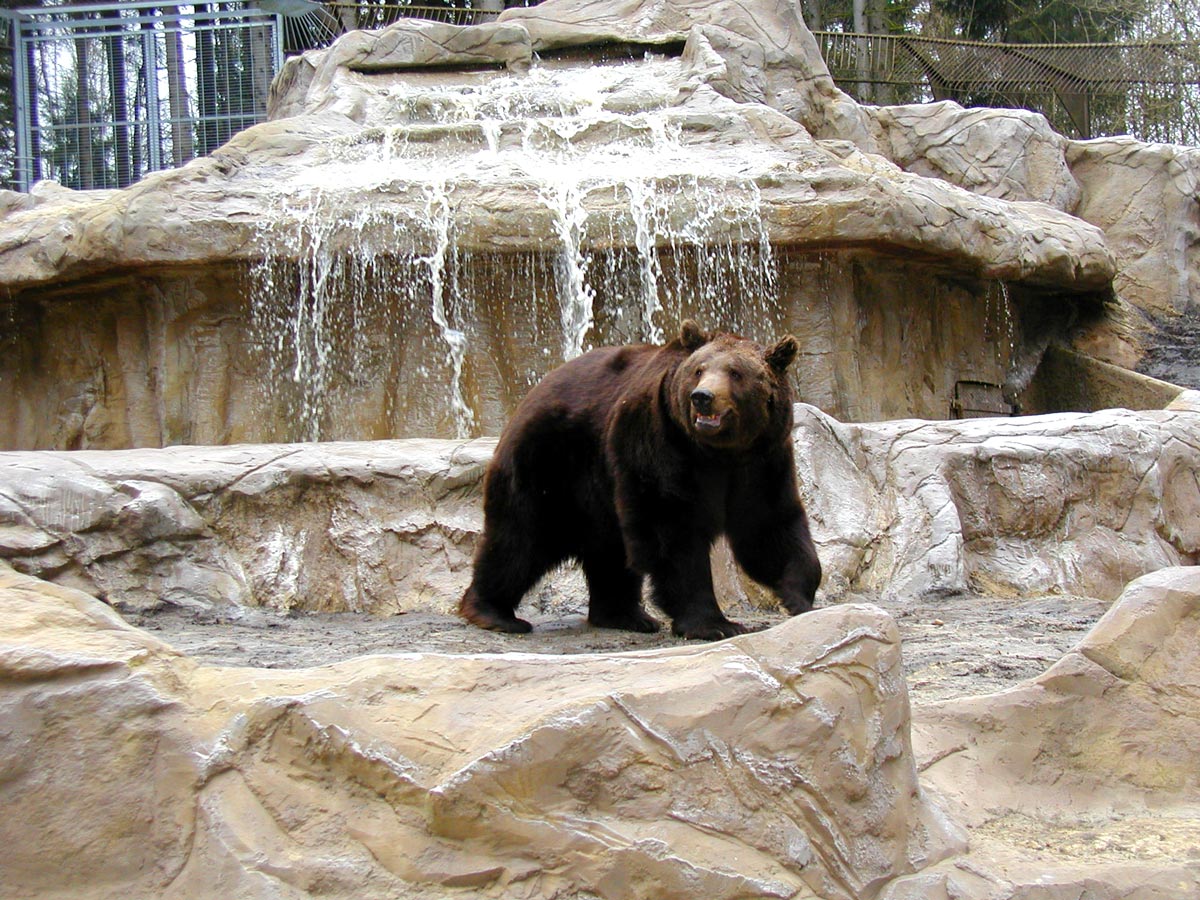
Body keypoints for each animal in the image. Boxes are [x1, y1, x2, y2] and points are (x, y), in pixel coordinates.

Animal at [453, 319, 820, 643]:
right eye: (698, 369)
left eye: (736, 372)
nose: (702, 396)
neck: (717, 453)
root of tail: (536, 389)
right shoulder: (658, 439)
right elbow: (673, 529)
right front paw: (714, 624)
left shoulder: (762, 460)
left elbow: (769, 523)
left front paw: (798, 596)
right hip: (551, 465)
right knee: (522, 538)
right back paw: (494, 612)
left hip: (598, 488)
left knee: (609, 550)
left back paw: (625, 615)